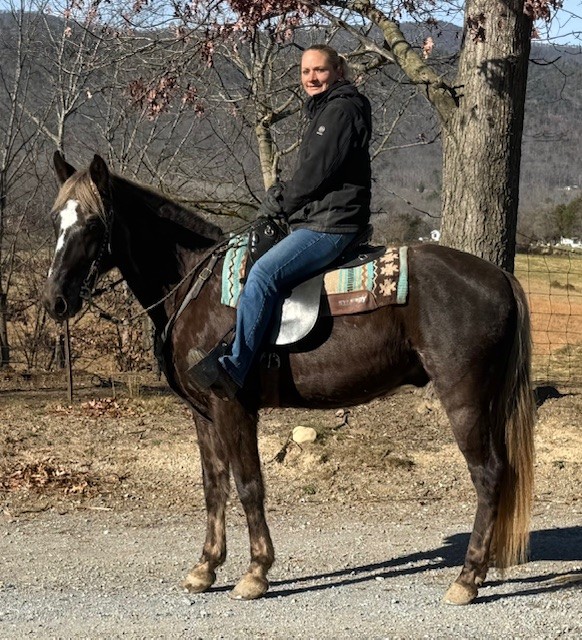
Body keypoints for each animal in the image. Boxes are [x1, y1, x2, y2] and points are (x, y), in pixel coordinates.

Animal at [43, 152, 536, 605]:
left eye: (92, 222)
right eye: (56, 220)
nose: (55, 301)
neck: (196, 287)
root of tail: (500, 277)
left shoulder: (232, 407)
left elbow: (248, 485)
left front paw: (256, 572)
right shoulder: (203, 413)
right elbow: (214, 485)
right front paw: (205, 567)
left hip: (465, 399)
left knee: (489, 474)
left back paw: (467, 579)